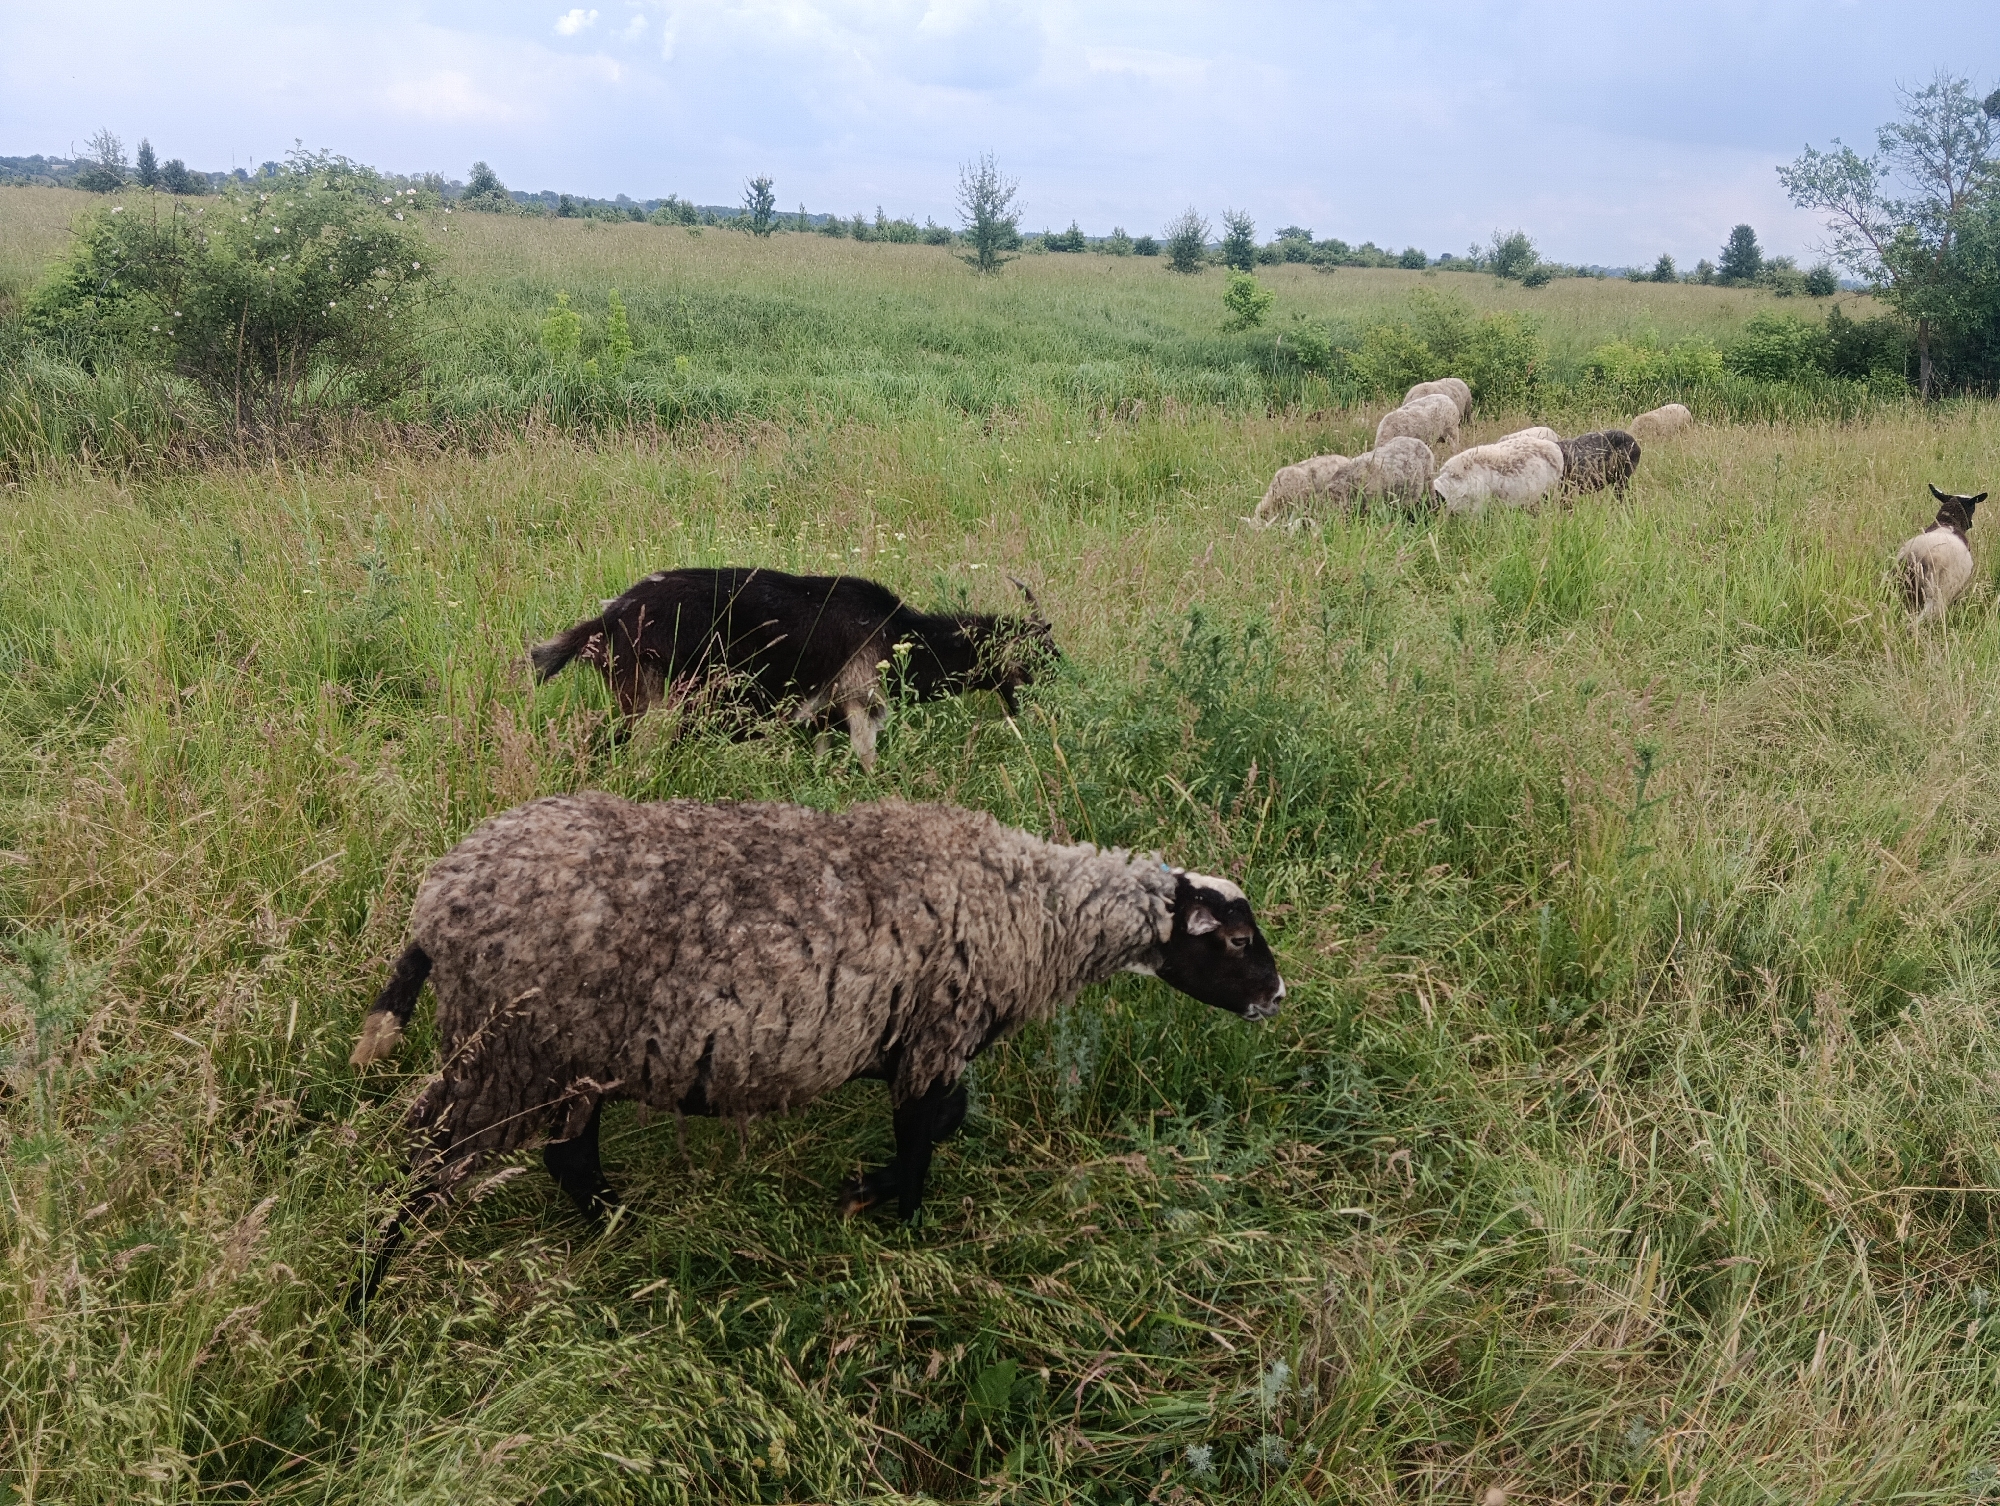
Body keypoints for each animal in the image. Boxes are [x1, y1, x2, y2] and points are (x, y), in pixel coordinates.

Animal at [348, 794, 1284, 1299]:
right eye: (1238, 943)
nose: (1277, 999)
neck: (1032, 911)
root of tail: (436, 901)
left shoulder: (922, 1042)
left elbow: (939, 1123)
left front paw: (875, 1193)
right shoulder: (936, 1031)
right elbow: (925, 1133)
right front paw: (891, 1209)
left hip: (561, 1056)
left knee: (565, 1156)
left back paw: (627, 1232)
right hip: (506, 1051)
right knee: (428, 1154)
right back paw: (369, 1284)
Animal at [528, 567, 1056, 771]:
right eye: (1037, 654)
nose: (1047, 695)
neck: (900, 634)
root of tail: (607, 620)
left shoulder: (823, 719)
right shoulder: (861, 701)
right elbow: (869, 760)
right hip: (654, 704)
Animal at [1897, 484, 1984, 624]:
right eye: (1972, 507)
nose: (1971, 524)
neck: (1948, 522)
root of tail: (1921, 555)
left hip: (1902, 585)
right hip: (1938, 592)